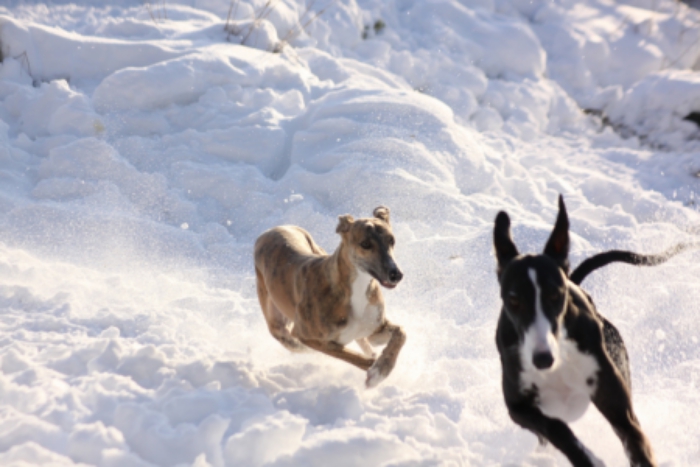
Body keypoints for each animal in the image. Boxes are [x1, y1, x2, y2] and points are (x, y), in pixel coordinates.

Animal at [492, 197, 696, 467]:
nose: (543, 359)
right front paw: (587, 458)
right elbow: (556, 428)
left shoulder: (617, 405)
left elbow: (634, 439)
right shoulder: (518, 408)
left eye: (555, 295)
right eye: (514, 300)